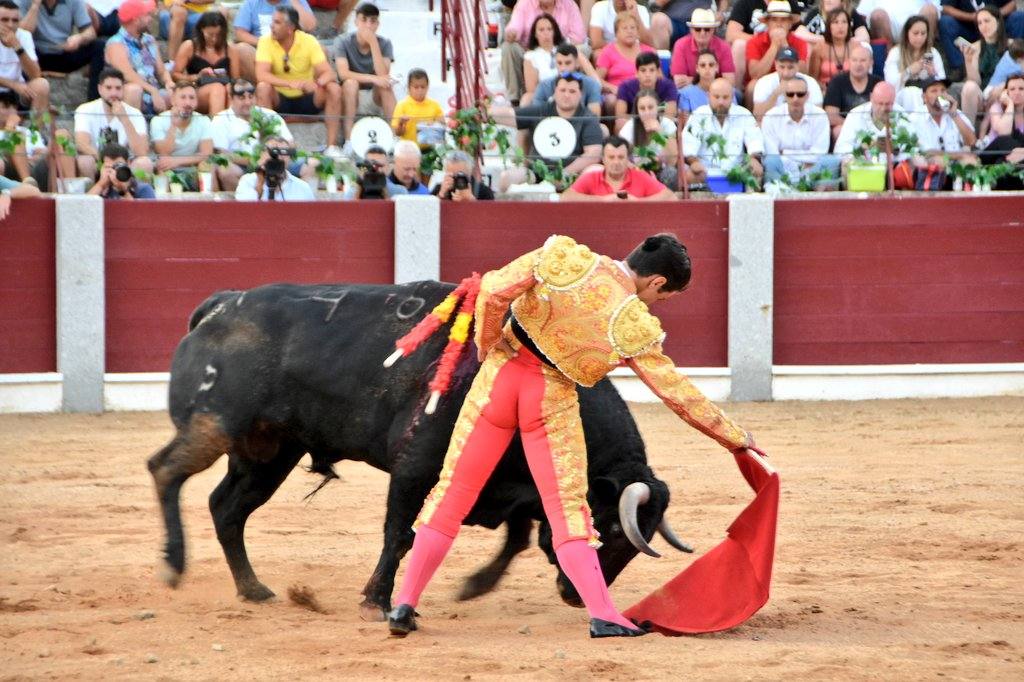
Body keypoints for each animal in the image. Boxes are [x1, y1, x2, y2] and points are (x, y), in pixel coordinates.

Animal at [148, 278, 688, 614]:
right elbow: (401, 534)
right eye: (612, 531)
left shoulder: (511, 485)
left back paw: (254, 589)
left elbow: (515, 537)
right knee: (166, 471)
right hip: (215, 425)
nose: (577, 597)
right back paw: (174, 565)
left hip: (268, 452)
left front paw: (474, 586)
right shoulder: (417, 467)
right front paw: (376, 602)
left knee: (227, 508)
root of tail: (220, 306)